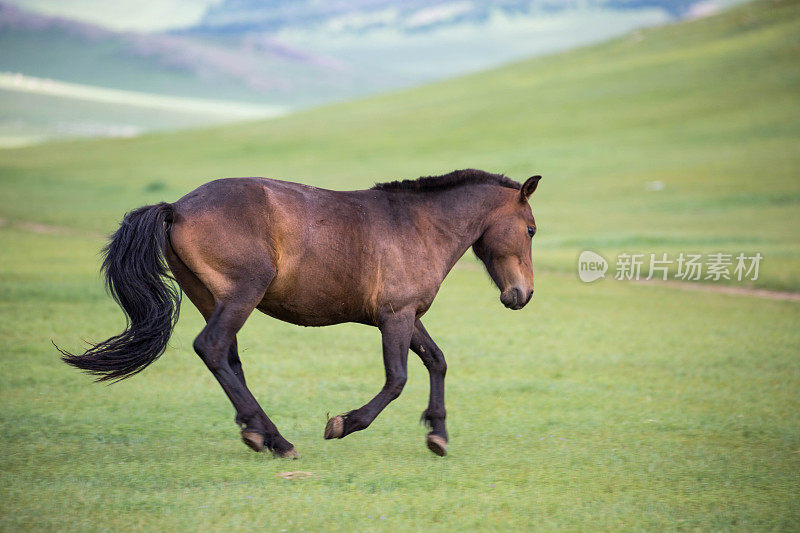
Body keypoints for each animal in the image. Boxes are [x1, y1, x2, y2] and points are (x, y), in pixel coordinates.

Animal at [59, 169, 540, 458]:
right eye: (532, 229)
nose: (523, 294)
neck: (419, 225)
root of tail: (176, 208)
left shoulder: (408, 316)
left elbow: (437, 361)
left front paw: (437, 435)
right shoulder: (396, 316)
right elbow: (397, 379)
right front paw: (343, 424)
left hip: (213, 299)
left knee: (228, 359)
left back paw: (259, 433)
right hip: (242, 295)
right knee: (211, 347)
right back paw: (276, 439)